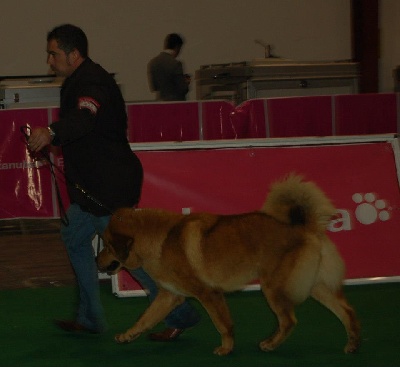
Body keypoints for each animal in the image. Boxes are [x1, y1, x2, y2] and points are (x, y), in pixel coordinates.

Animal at [96, 175, 360, 356]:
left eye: (107, 245)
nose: (96, 261)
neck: (160, 238)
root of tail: (306, 225)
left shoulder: (208, 293)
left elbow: (223, 324)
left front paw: (226, 348)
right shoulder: (169, 295)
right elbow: (144, 318)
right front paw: (128, 336)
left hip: (273, 287)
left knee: (289, 320)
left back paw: (270, 344)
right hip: (315, 285)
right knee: (346, 311)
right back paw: (352, 344)